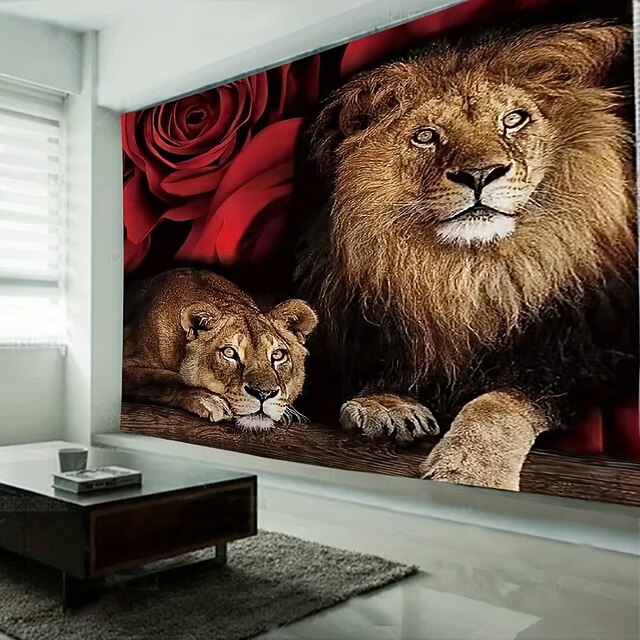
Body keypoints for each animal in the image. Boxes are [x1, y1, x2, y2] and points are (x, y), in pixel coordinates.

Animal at [295, 21, 638, 490]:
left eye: (514, 120)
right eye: (425, 136)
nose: (480, 174)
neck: (469, 273)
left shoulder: (579, 355)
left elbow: (499, 401)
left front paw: (470, 471)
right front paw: (385, 406)